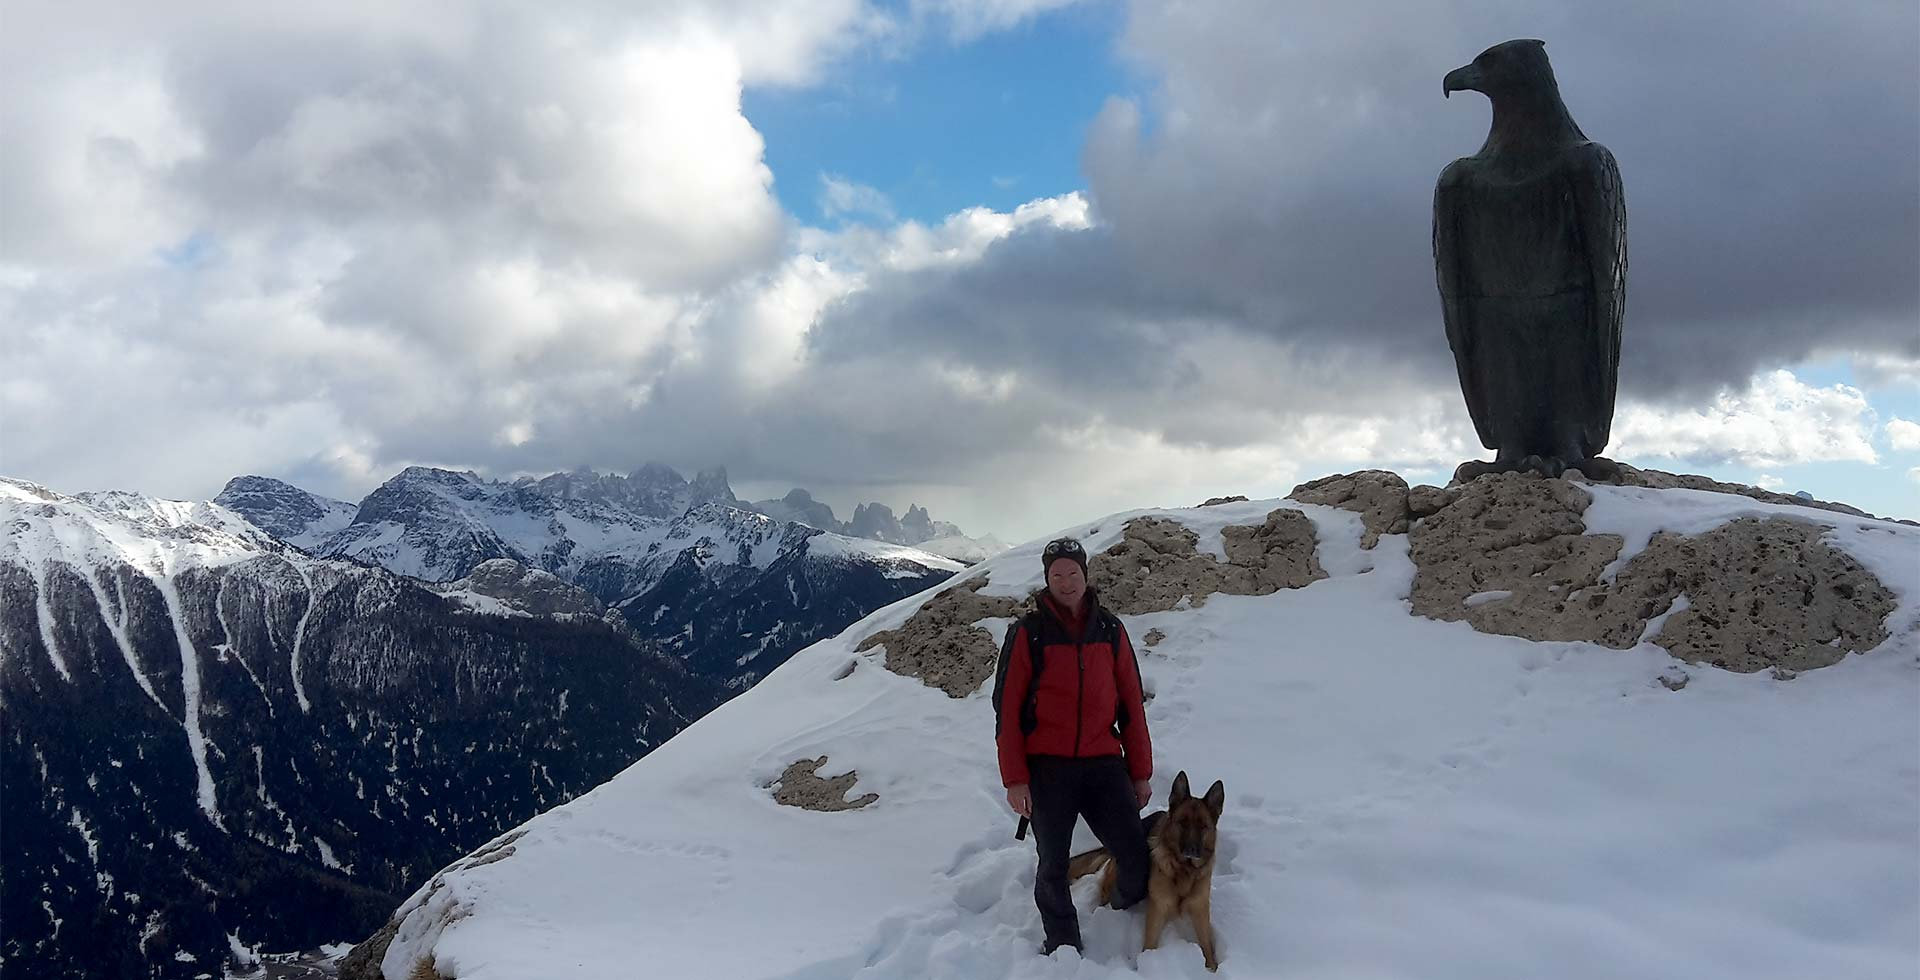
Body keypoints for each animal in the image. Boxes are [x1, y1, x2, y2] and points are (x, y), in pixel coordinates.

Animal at [1067, 772, 1228, 972]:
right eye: (1182, 823)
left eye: (1203, 826)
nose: (1191, 849)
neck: (1184, 870)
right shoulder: (1158, 908)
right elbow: (1150, 943)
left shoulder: (1200, 909)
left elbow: (1206, 943)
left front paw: (1212, 967)